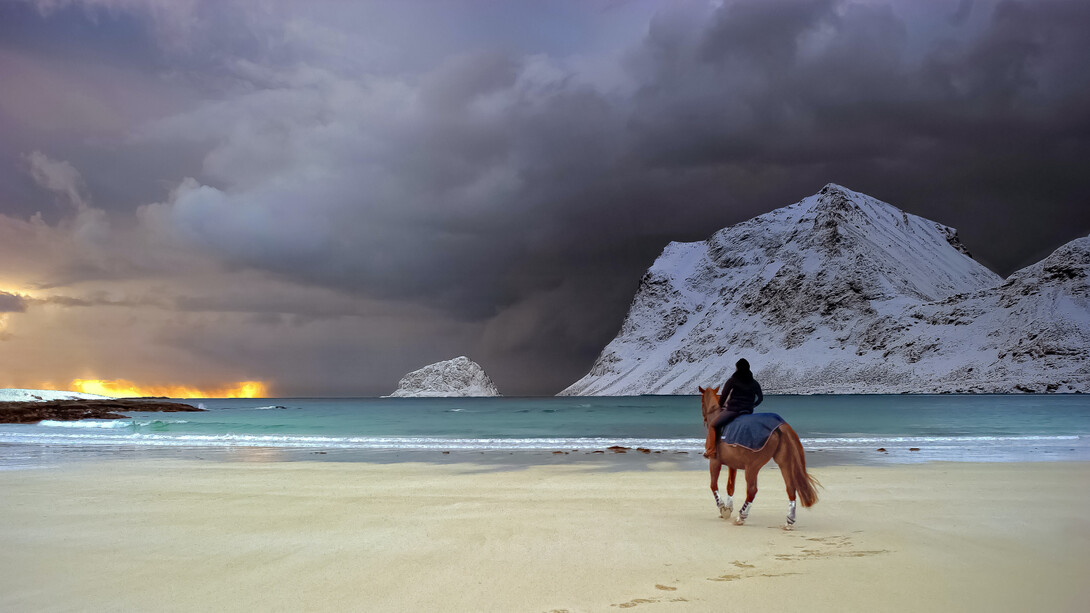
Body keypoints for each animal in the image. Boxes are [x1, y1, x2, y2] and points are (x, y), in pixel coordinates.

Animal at [699, 386, 819, 529]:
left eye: (702, 402)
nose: (704, 419)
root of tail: (779, 426)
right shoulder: (732, 465)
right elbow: (730, 487)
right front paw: (728, 508)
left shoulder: (714, 461)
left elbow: (713, 485)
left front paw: (722, 507)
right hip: (784, 463)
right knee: (790, 488)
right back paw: (789, 521)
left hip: (752, 467)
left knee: (752, 490)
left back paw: (741, 517)